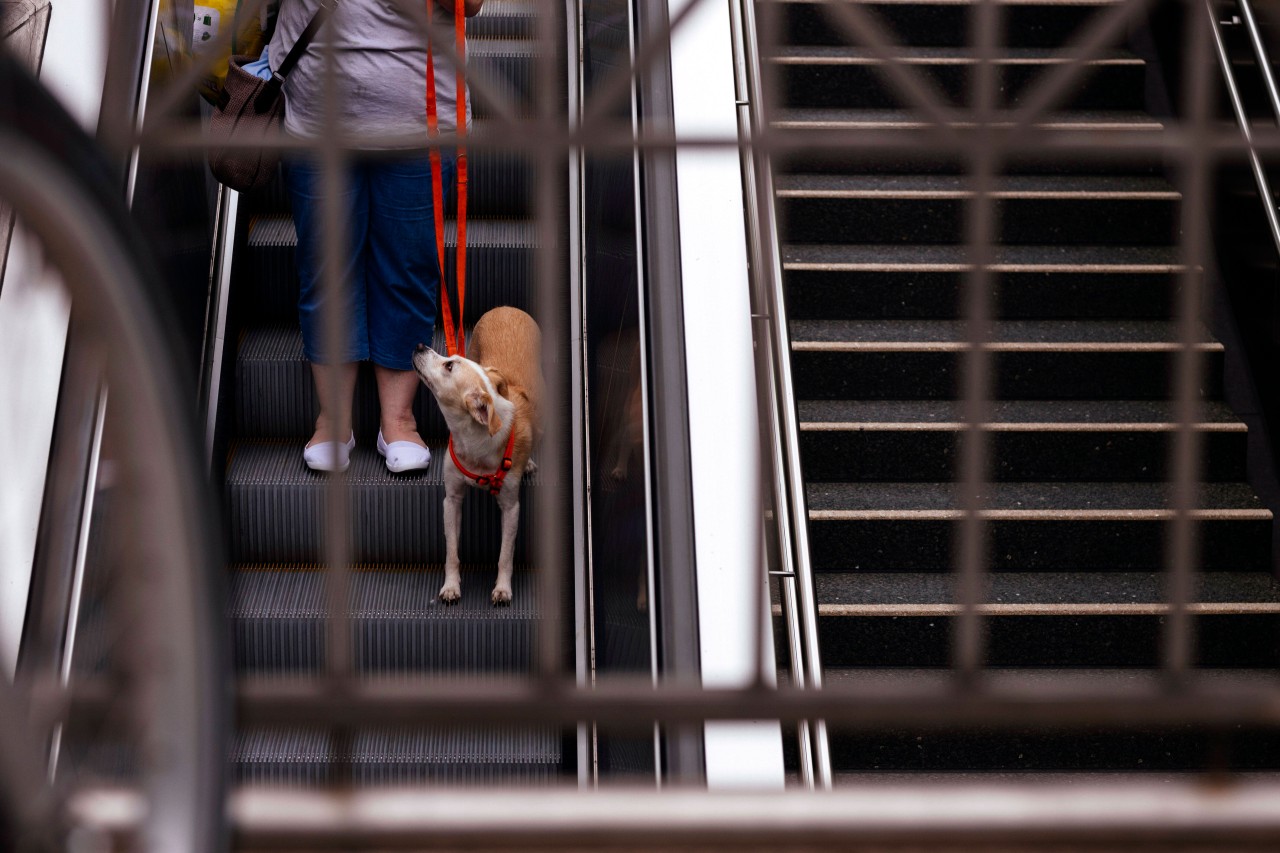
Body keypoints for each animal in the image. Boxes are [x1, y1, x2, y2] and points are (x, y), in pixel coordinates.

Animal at [412, 306, 542, 604]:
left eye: (449, 366)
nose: (421, 344)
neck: (474, 440)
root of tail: (506, 307)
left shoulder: (511, 507)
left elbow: (505, 555)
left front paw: (503, 588)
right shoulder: (452, 499)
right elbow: (451, 552)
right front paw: (451, 586)